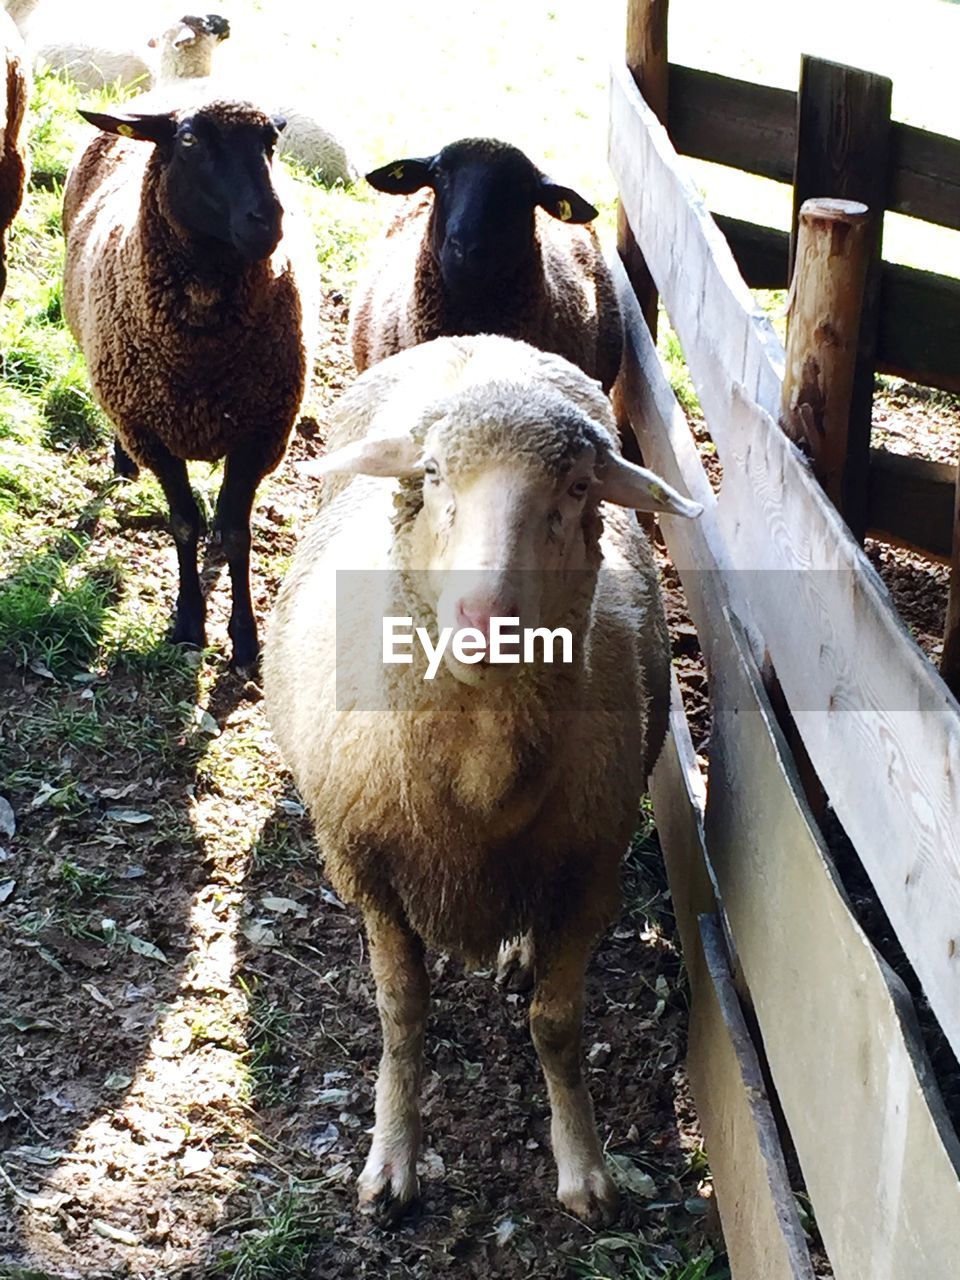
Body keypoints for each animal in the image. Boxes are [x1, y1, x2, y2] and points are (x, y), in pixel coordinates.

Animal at [64, 99, 320, 670]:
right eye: (189, 141)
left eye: (271, 143)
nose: (268, 220)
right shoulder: (151, 430)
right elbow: (184, 523)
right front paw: (188, 622)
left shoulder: (261, 432)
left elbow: (237, 532)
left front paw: (245, 637)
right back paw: (122, 461)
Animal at [261, 330, 701, 1218]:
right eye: (431, 474)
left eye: (576, 486)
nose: (484, 622)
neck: (479, 786)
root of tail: (482, 338)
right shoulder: (370, 870)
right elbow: (402, 1016)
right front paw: (392, 1158)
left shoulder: (590, 869)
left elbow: (556, 1026)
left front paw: (584, 1163)